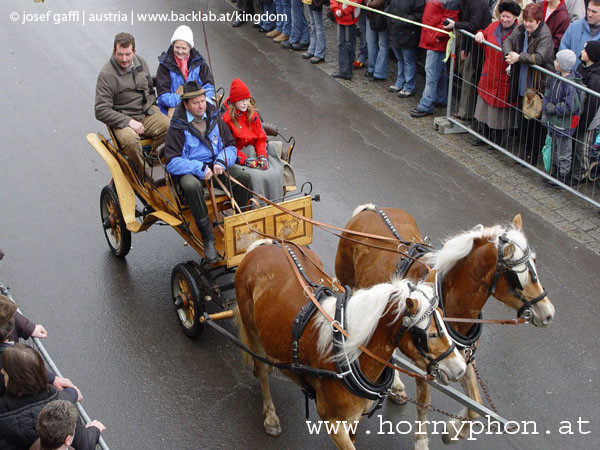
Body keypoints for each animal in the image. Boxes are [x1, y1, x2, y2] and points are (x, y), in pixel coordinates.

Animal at [233, 237, 464, 448]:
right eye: (431, 334)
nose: (460, 369)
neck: (347, 354)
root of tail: (265, 244)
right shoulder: (333, 421)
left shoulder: (355, 417)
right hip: (252, 329)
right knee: (261, 369)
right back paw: (270, 416)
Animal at [336, 205, 556, 450]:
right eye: (517, 275)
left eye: (535, 262)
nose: (548, 312)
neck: (450, 299)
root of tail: (370, 209)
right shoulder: (425, 361)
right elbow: (424, 402)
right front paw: (422, 441)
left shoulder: (461, 356)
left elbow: (475, 405)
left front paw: (453, 432)